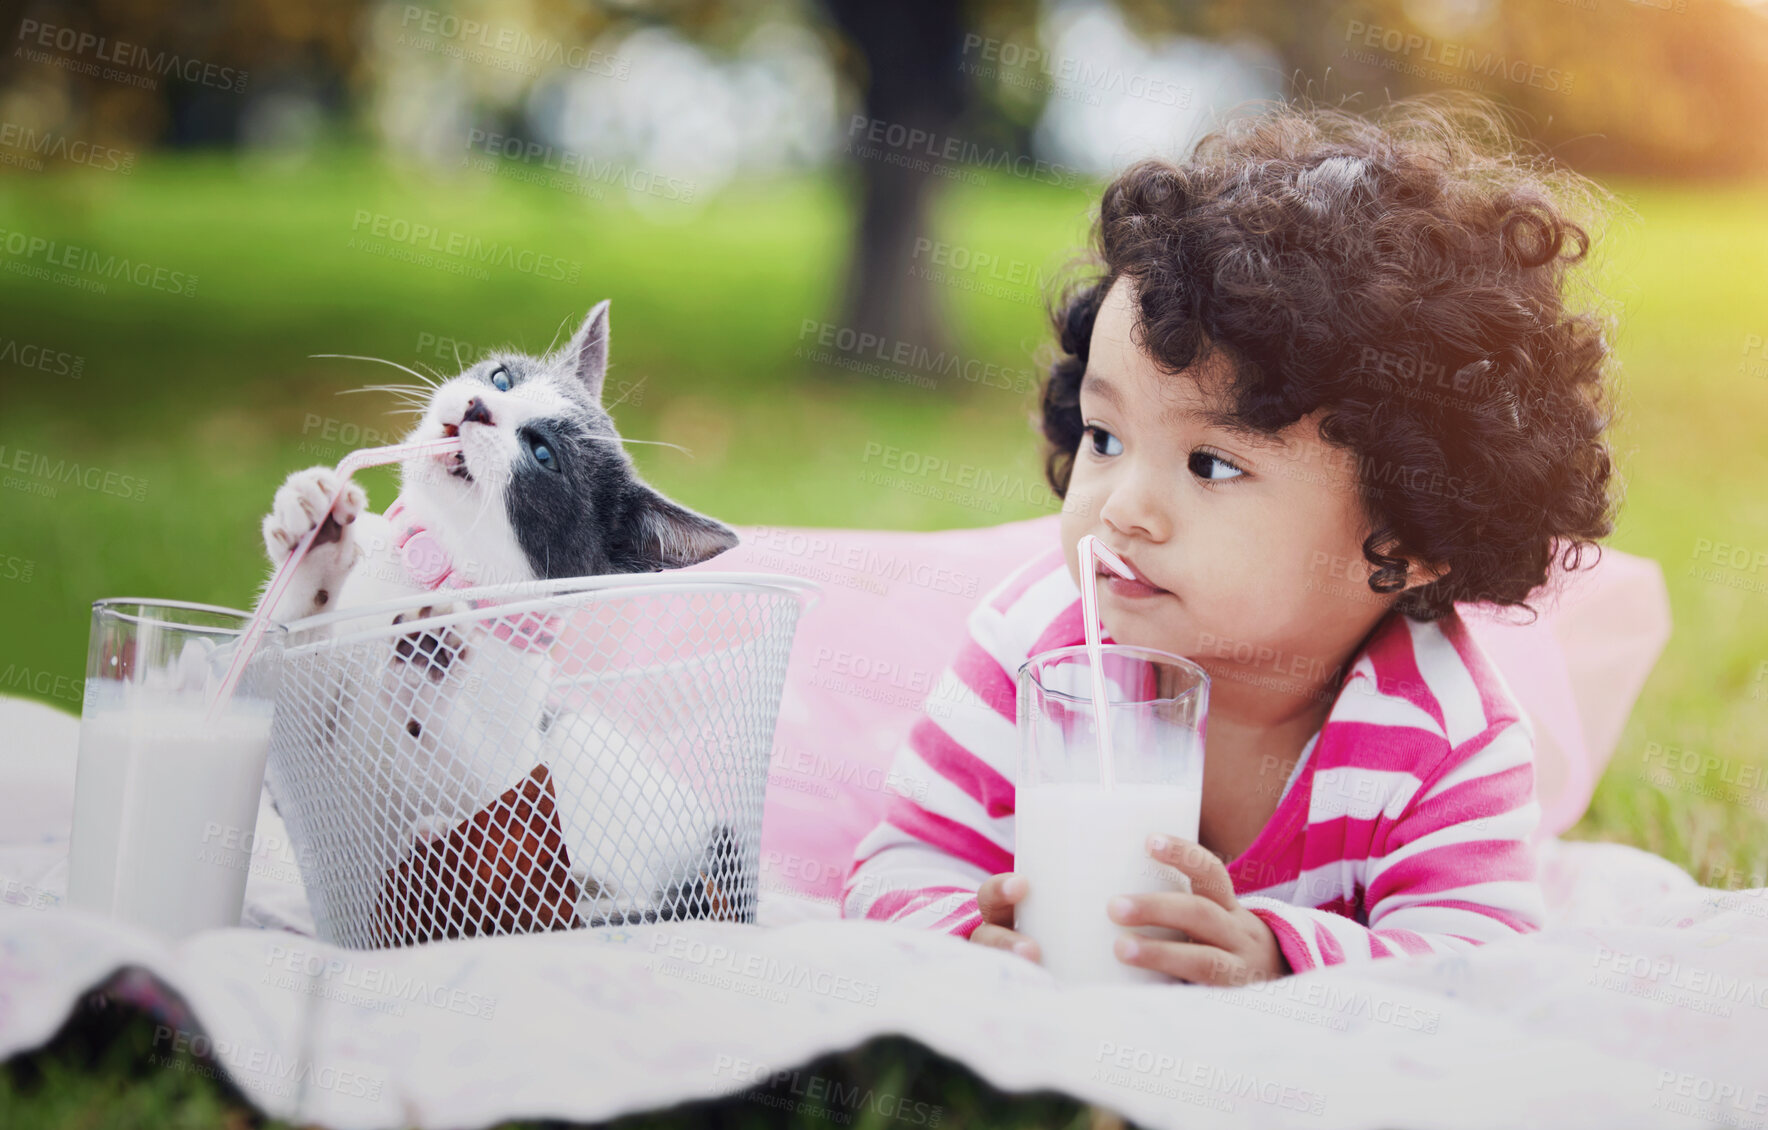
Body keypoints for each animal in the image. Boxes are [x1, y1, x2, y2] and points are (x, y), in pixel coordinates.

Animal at [258, 300, 735, 926]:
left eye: (543, 454)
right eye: (503, 378)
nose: (478, 407)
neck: (429, 567)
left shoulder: (506, 767)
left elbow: (478, 786)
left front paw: (429, 658)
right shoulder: (301, 757)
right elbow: (285, 672)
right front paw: (314, 535)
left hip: (583, 748)